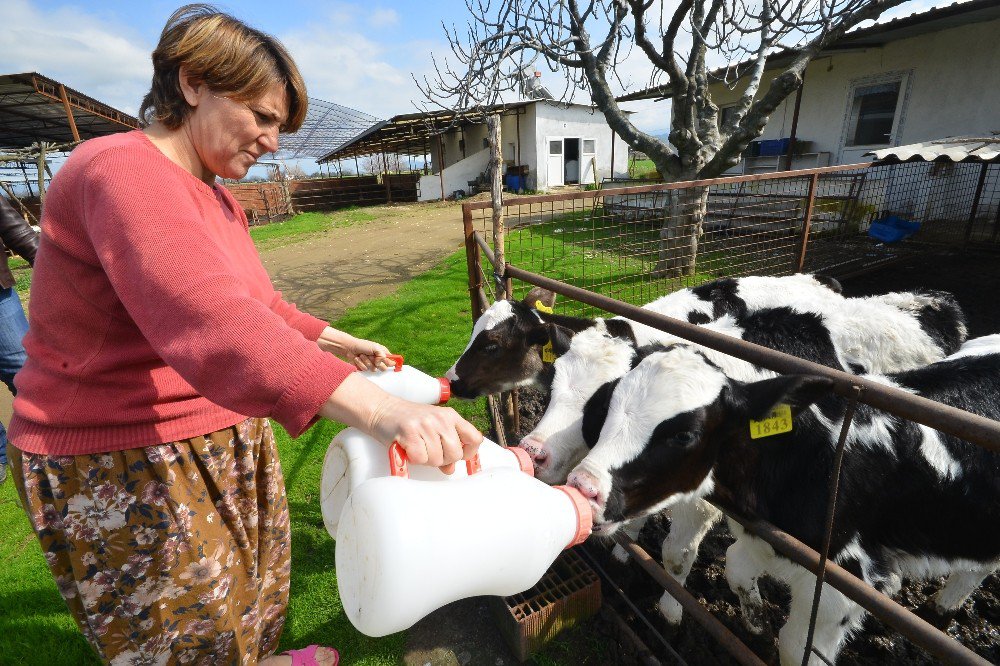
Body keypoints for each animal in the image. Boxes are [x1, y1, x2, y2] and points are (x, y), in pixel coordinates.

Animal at [568, 338, 1000, 664]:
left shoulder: (845, 580)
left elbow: (796, 646)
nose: (584, 487)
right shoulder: (763, 535)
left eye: (684, 434)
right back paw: (939, 612)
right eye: (610, 407)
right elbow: (736, 568)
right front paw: (756, 628)